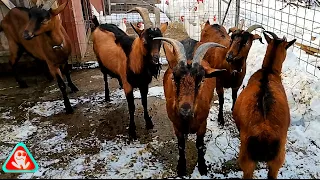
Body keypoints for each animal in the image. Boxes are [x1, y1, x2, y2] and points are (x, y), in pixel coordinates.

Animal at [91, 6, 168, 139]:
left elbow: (144, 102)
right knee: (105, 77)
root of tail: (98, 25)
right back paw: (107, 96)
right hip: (100, 62)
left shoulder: (144, 85)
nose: (155, 61)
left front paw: (149, 123)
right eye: (144, 41)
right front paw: (132, 130)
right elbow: (131, 106)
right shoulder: (128, 85)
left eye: (160, 42)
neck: (133, 60)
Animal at [156, 37, 228, 176]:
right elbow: (181, 145)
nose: (185, 109)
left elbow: (199, 145)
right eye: (174, 78)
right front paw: (181, 168)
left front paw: (202, 167)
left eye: (201, 80)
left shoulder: (202, 124)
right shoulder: (176, 125)